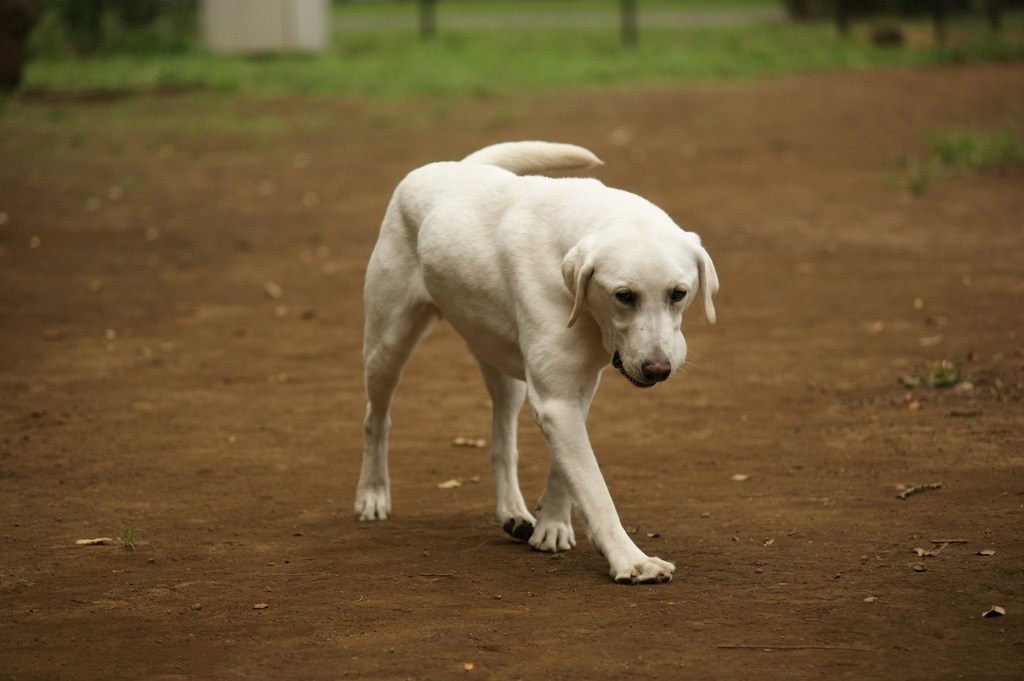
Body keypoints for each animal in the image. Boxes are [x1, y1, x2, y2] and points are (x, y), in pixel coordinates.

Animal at [356, 140, 716, 581]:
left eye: (679, 293)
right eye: (624, 296)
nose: (658, 369)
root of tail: (454, 165)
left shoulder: (574, 391)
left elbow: (566, 471)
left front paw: (553, 525)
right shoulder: (557, 402)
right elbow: (594, 488)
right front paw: (632, 560)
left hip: (501, 365)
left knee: (502, 442)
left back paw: (513, 512)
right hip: (387, 346)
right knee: (376, 419)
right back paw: (373, 495)